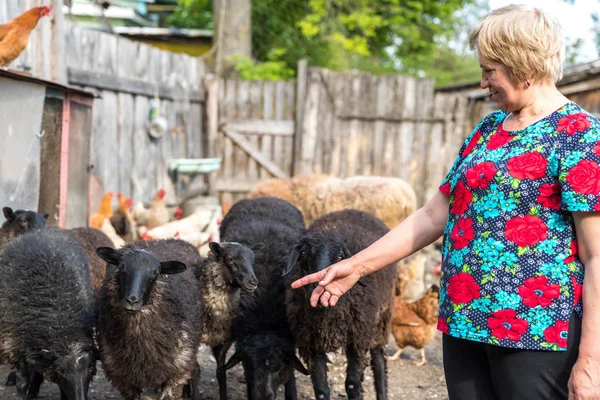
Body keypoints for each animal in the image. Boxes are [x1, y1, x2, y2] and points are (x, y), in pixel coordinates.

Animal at [0, 228, 96, 400]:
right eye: (61, 372)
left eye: (90, 369)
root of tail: (41, 231)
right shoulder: (15, 344)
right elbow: (22, 381)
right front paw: (22, 394)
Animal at [96, 241, 204, 400]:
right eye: (121, 268)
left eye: (155, 274)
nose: (132, 301)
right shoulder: (122, 377)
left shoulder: (176, 374)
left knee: (195, 371)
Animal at [219, 197, 310, 400]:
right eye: (247, 366)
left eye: (277, 366)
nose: (262, 396)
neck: (264, 321)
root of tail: (265, 197)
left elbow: (291, 376)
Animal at [282, 209, 396, 400]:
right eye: (304, 252)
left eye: (341, 256)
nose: (320, 284)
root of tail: (355, 210)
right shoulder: (312, 343)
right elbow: (321, 390)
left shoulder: (358, 338)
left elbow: (352, 384)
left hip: (382, 316)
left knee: (379, 358)